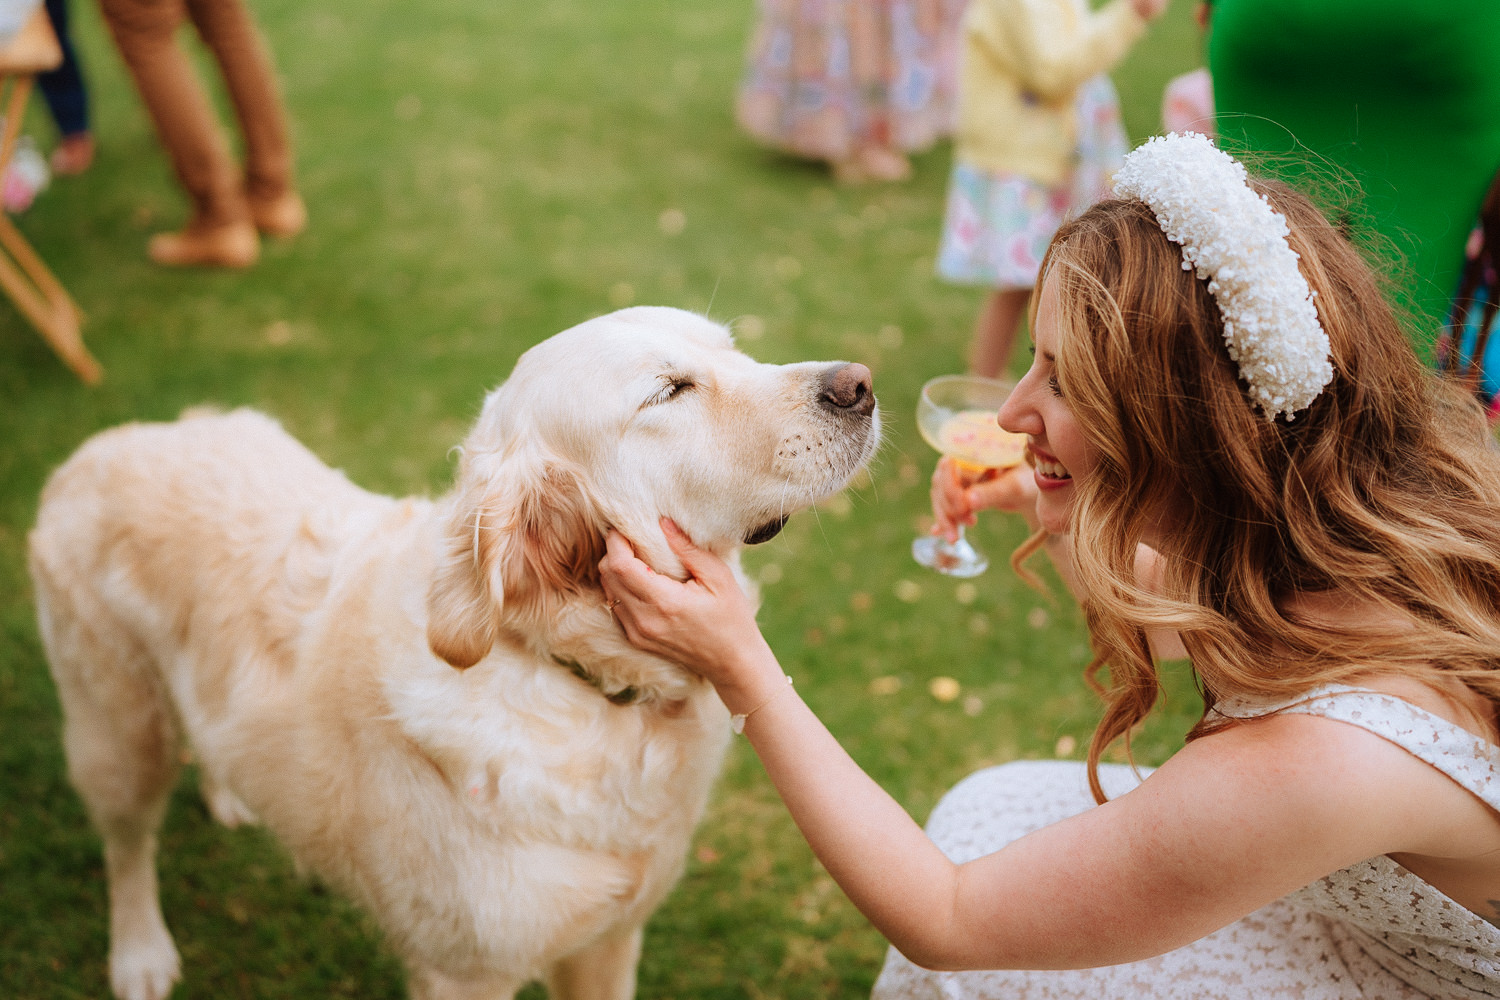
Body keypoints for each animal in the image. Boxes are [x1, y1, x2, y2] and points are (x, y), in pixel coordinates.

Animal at [26, 307, 876, 1000]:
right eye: (668, 392)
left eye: (732, 349)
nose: (860, 384)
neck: (575, 677)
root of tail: (112, 440)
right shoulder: (463, 971)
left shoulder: (609, 940)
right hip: (117, 735)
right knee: (126, 844)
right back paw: (140, 952)